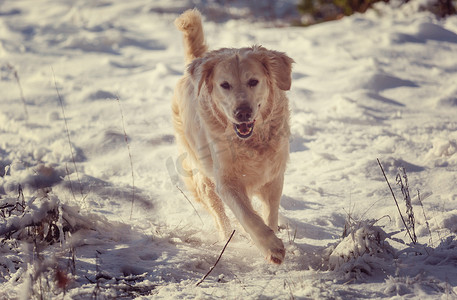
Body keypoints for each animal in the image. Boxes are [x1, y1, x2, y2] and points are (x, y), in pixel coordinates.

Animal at [171, 8, 292, 264]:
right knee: (218, 213)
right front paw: (271, 247)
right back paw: (229, 240)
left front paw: (273, 235)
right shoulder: (226, 181)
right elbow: (248, 216)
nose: (242, 112)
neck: (251, 142)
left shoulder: (274, 175)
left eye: (253, 81)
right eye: (224, 85)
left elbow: (270, 212)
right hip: (202, 174)